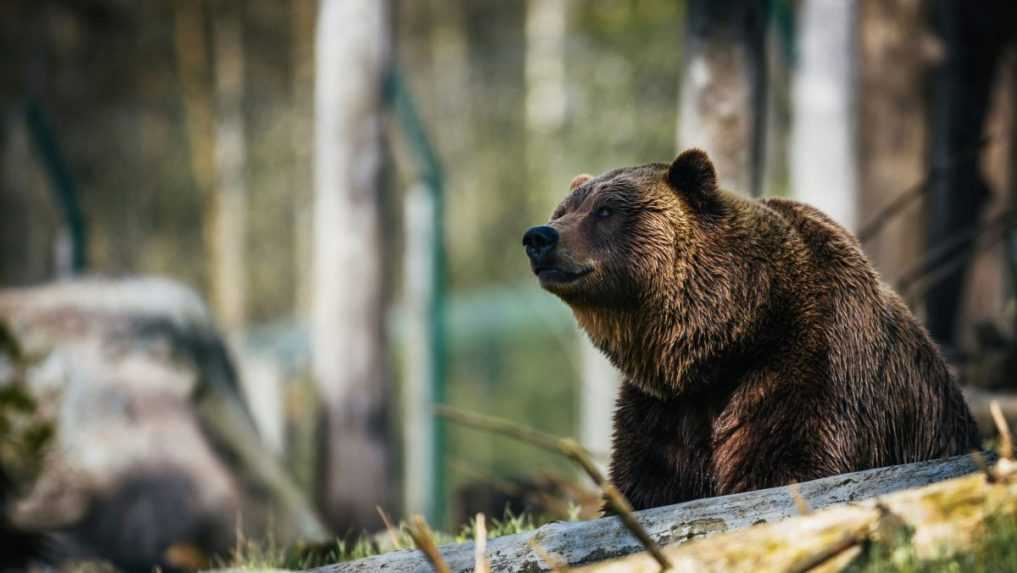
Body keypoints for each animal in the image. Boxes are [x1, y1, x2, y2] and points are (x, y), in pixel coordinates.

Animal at [520, 149, 980, 510]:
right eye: (563, 211)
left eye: (606, 211)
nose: (539, 237)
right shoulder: (664, 410)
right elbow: (646, 483)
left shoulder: (809, 366)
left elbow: (788, 463)